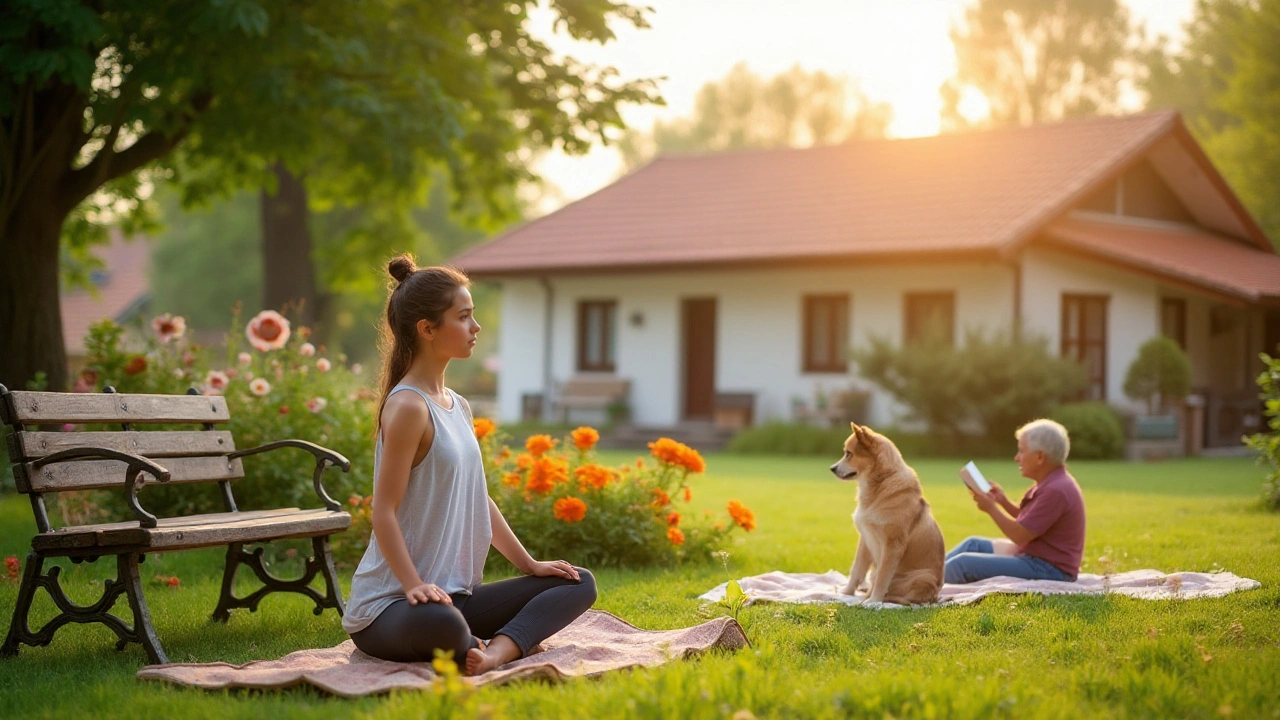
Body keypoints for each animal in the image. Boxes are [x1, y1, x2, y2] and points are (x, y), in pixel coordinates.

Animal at [829, 422, 952, 602]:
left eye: (848, 454)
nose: (832, 468)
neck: (882, 484)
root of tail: (934, 597)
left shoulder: (893, 544)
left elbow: (882, 576)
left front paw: (873, 602)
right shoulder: (865, 539)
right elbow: (856, 570)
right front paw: (847, 593)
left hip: (923, 576)